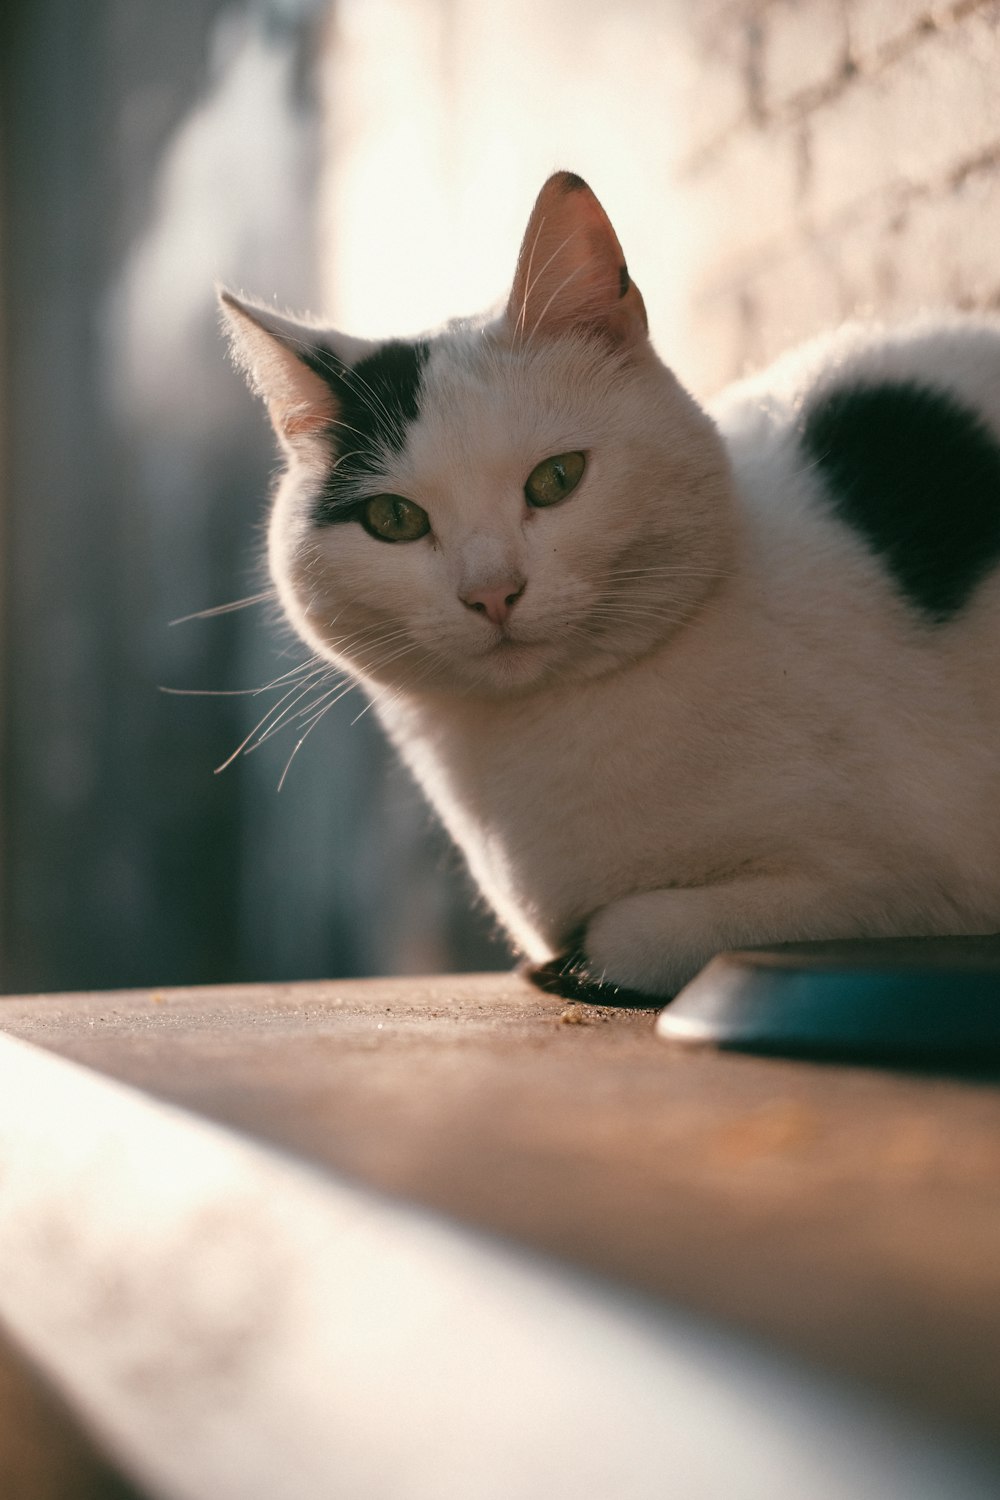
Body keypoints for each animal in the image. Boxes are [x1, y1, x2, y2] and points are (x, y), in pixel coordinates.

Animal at [223, 170, 1000, 1002]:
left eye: (556, 479)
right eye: (395, 519)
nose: (492, 593)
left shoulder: (908, 887)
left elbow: (637, 931)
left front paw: (579, 962)